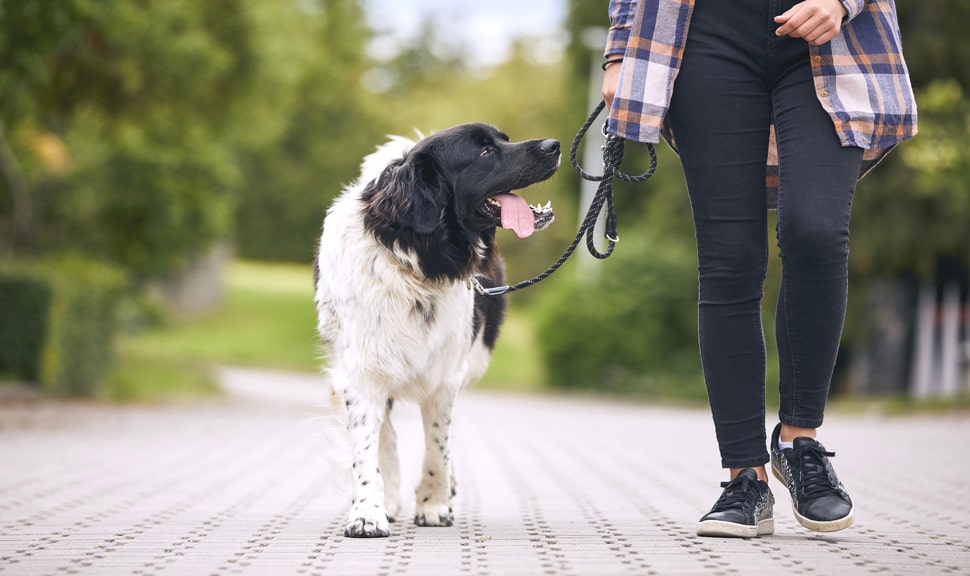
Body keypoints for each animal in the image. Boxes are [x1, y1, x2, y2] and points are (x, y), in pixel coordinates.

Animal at [316, 124, 560, 536]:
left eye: (503, 138)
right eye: (483, 151)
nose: (554, 145)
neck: (414, 262)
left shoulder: (446, 375)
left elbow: (437, 445)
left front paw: (433, 504)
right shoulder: (358, 373)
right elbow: (368, 449)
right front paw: (368, 511)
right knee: (385, 435)